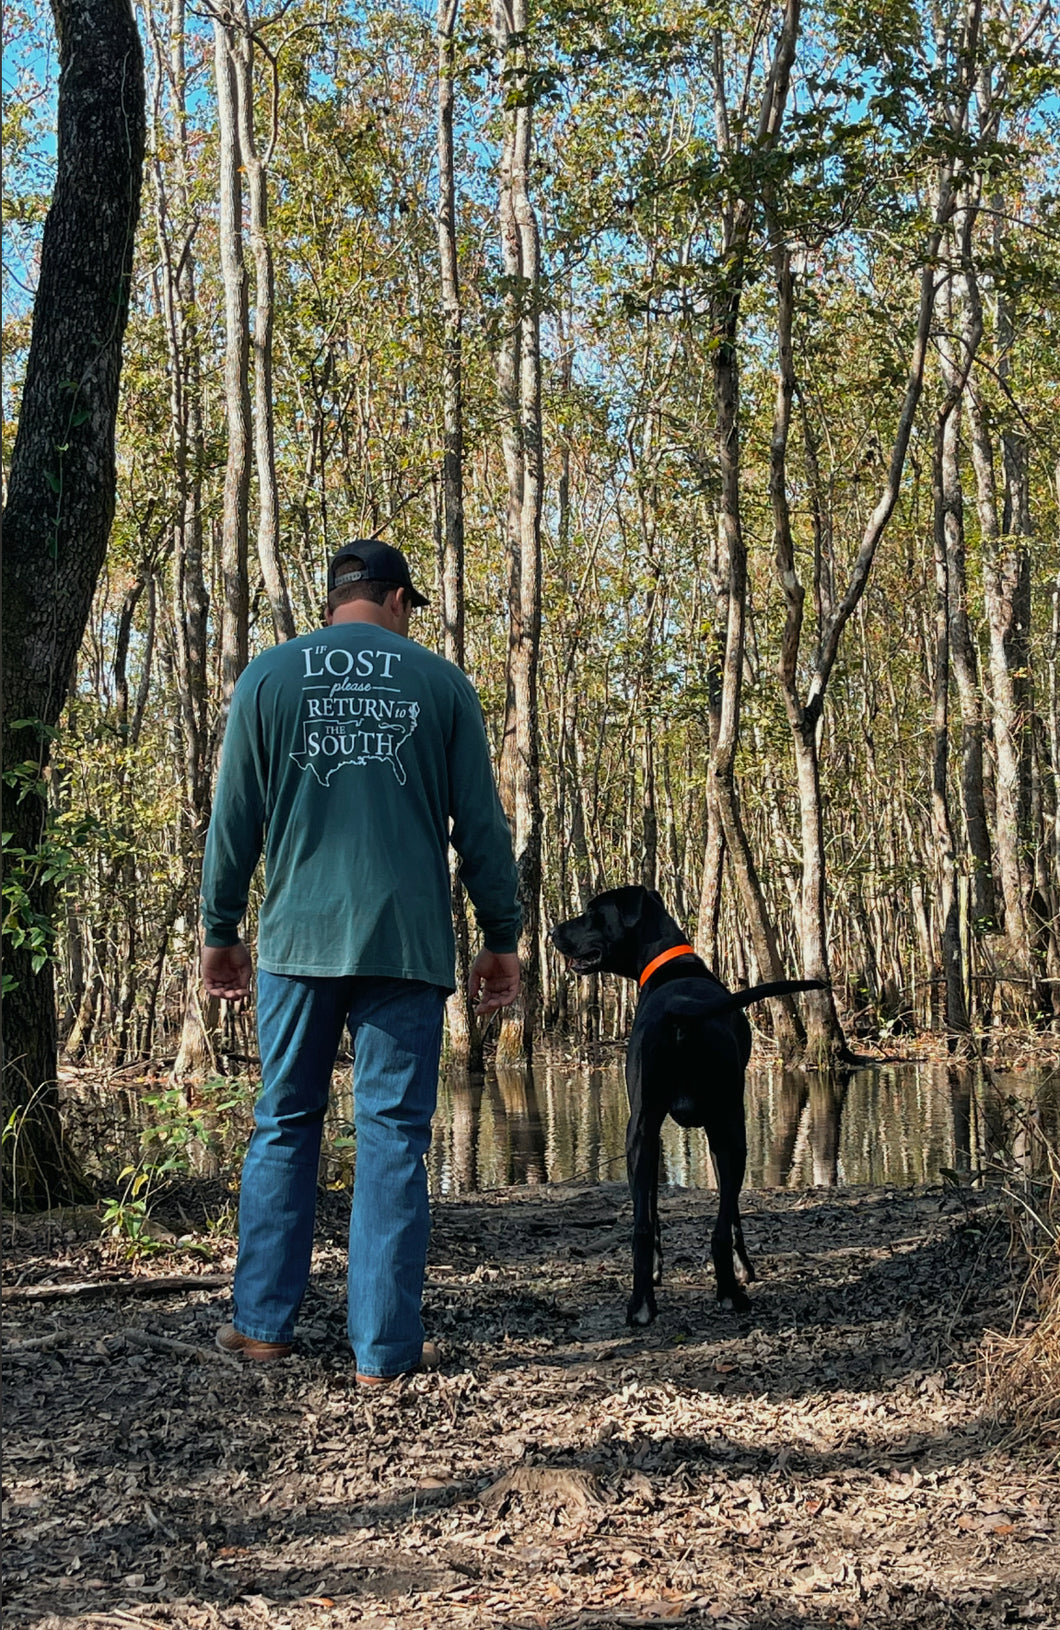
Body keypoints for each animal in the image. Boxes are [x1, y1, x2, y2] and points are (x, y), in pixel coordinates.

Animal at [547, 893, 821, 1323]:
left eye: (592, 912)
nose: (553, 931)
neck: (671, 963)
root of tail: (683, 1014)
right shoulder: (710, 1132)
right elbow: (732, 1213)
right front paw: (743, 1268)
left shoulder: (656, 1134)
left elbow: (657, 1212)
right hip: (727, 1129)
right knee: (718, 1226)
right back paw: (728, 1291)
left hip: (643, 1135)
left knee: (644, 1227)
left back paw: (643, 1303)